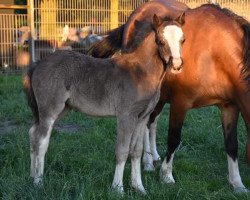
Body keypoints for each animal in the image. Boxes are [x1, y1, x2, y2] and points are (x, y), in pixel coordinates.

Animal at [23, 14, 186, 195]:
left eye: (183, 40)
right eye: (161, 41)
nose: (177, 64)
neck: (140, 72)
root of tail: (37, 64)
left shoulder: (142, 117)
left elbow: (136, 151)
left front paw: (139, 187)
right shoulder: (125, 116)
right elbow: (122, 150)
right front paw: (118, 188)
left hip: (60, 109)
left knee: (32, 133)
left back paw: (31, 176)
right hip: (50, 110)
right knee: (41, 141)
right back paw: (38, 182)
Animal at [91, 2, 250, 194]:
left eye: (184, 40)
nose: (176, 65)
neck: (215, 52)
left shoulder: (229, 106)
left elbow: (232, 144)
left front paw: (237, 183)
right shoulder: (180, 103)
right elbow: (174, 138)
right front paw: (166, 175)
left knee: (151, 122)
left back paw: (153, 156)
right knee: (147, 125)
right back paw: (148, 162)